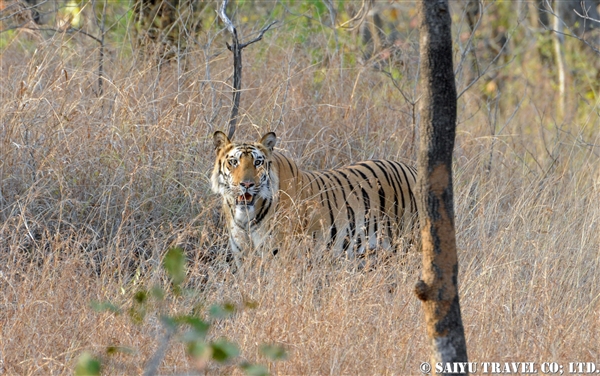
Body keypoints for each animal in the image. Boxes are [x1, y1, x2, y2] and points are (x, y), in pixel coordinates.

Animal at [211, 131, 418, 266]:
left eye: (258, 162)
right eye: (233, 162)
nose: (246, 184)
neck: (245, 216)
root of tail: (413, 170)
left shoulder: (277, 256)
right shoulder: (243, 256)